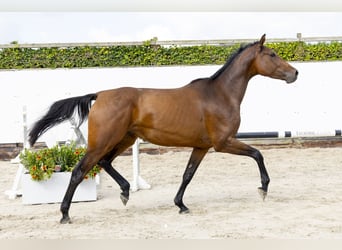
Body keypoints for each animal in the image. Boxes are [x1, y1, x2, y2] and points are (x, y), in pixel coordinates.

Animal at [28, 34, 296, 224]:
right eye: (272, 54)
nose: (295, 73)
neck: (219, 94)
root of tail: (100, 94)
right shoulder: (223, 142)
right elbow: (258, 154)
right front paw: (263, 188)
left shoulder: (201, 146)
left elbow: (188, 175)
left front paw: (181, 205)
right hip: (102, 142)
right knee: (78, 171)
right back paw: (65, 214)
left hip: (124, 139)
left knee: (104, 163)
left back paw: (125, 192)